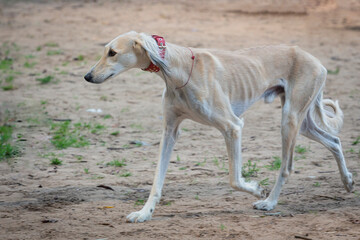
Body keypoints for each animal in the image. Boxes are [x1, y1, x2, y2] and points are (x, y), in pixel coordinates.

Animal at [84, 31, 354, 222]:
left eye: (112, 52)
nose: (87, 76)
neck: (178, 69)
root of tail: (316, 60)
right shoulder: (170, 131)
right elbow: (157, 181)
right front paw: (144, 213)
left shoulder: (233, 127)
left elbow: (234, 179)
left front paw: (257, 190)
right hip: (303, 122)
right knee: (335, 141)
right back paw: (348, 181)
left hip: (289, 120)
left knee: (287, 167)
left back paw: (269, 203)